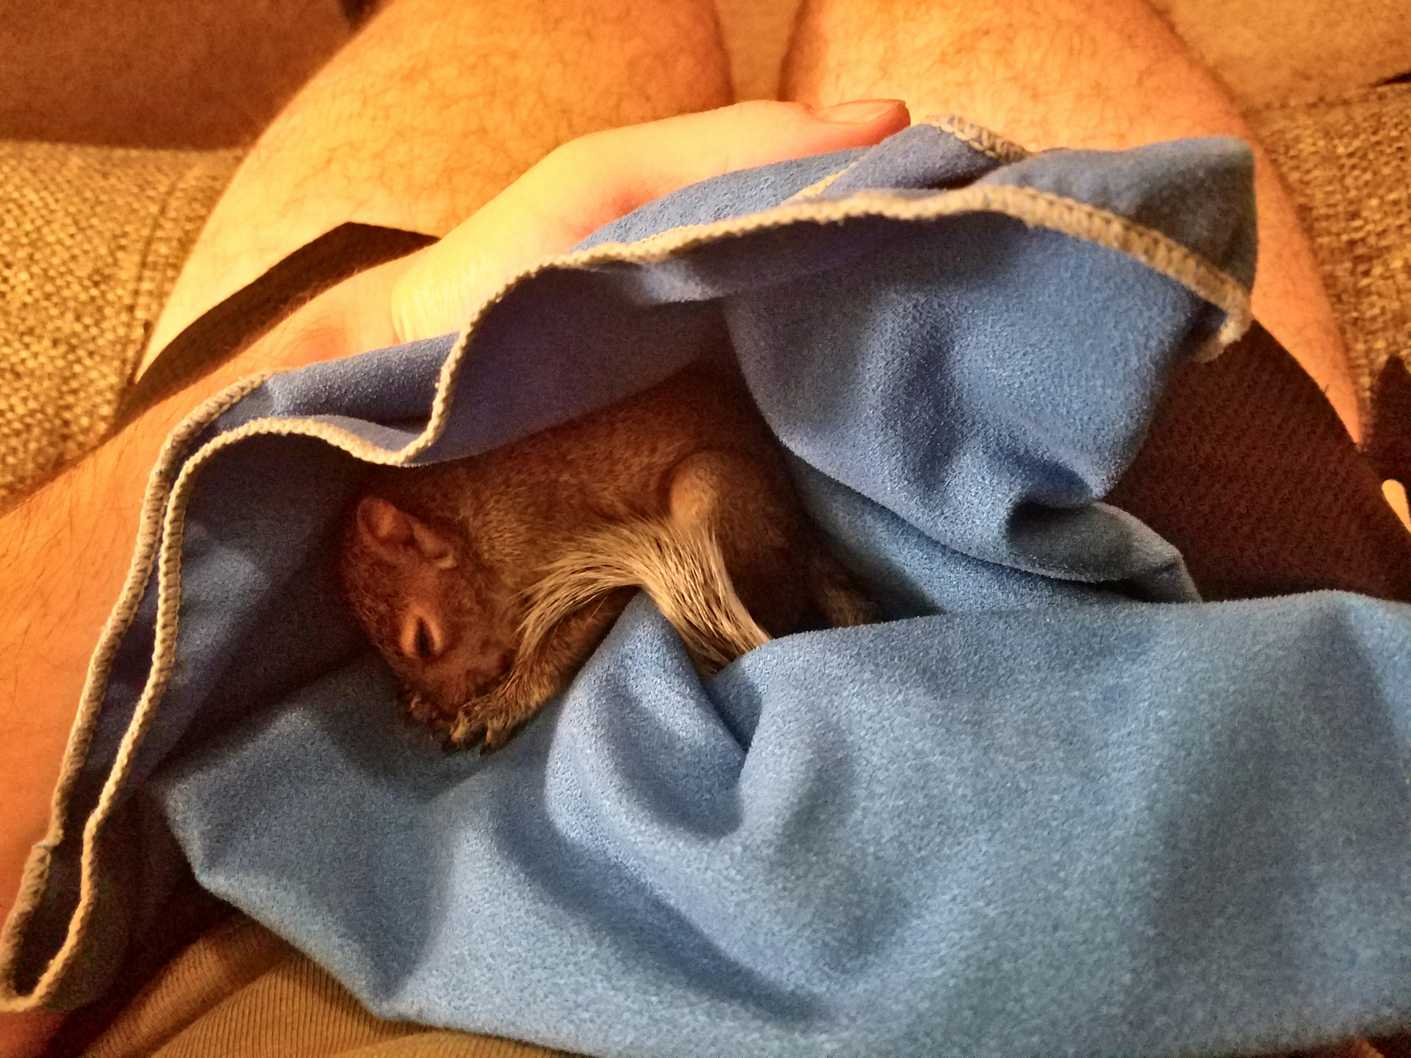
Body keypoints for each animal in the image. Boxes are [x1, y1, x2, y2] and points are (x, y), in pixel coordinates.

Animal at [337, 360, 875, 751]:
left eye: (424, 640)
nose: (450, 703)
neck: (473, 531)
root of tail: (804, 537)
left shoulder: (571, 551)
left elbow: (562, 639)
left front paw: (500, 704)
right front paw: (425, 703)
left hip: (707, 488)